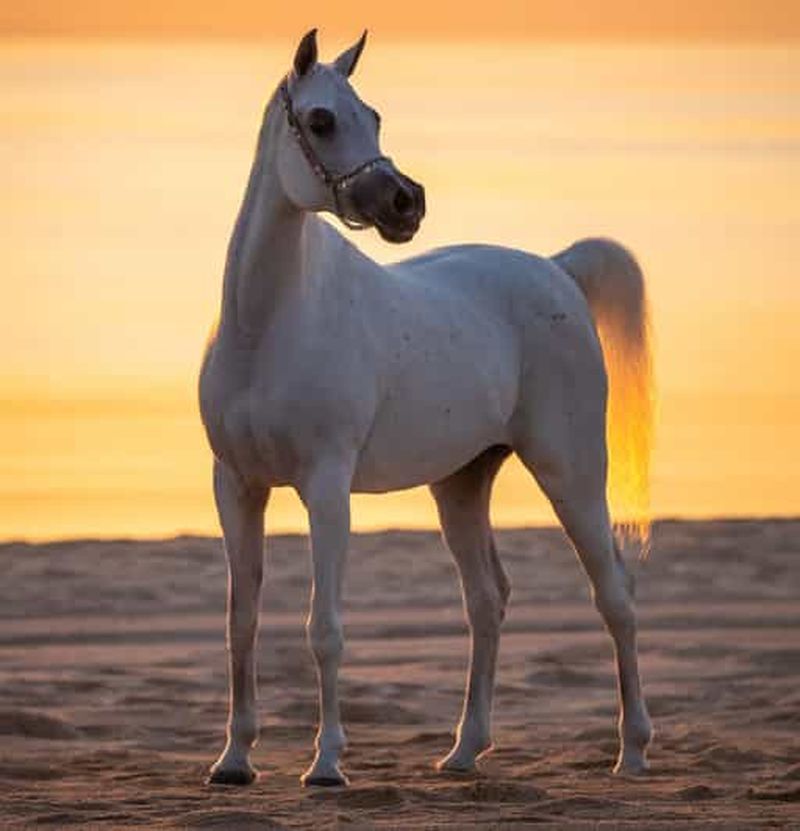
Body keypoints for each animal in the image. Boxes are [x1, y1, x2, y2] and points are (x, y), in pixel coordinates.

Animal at [199, 29, 654, 788]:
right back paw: (465, 749)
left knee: (614, 594)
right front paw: (234, 759)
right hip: (462, 484)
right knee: (487, 601)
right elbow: (241, 622)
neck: (268, 325)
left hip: (571, 471)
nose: (404, 202)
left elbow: (324, 628)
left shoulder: (326, 486)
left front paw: (327, 762)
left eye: (374, 115)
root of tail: (557, 268)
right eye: (321, 120)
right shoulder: (236, 485)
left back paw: (634, 750)